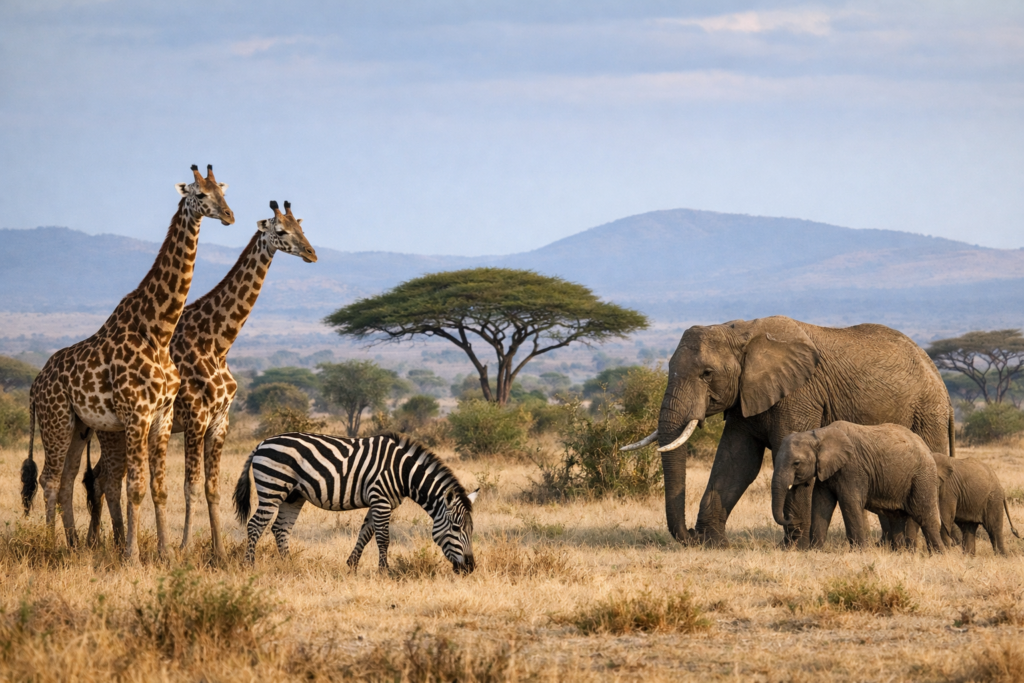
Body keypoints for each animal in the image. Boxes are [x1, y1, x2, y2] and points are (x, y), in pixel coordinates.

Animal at [233, 431, 478, 573]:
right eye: (456, 528)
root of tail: (262, 443)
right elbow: (383, 538)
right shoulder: (381, 500)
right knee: (256, 525)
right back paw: (249, 565)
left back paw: (289, 565)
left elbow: (365, 534)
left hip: (293, 496)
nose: (470, 568)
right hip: (272, 488)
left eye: (471, 530)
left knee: (280, 528)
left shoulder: (379, 502)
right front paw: (384, 571)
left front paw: (352, 566)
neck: (403, 472)